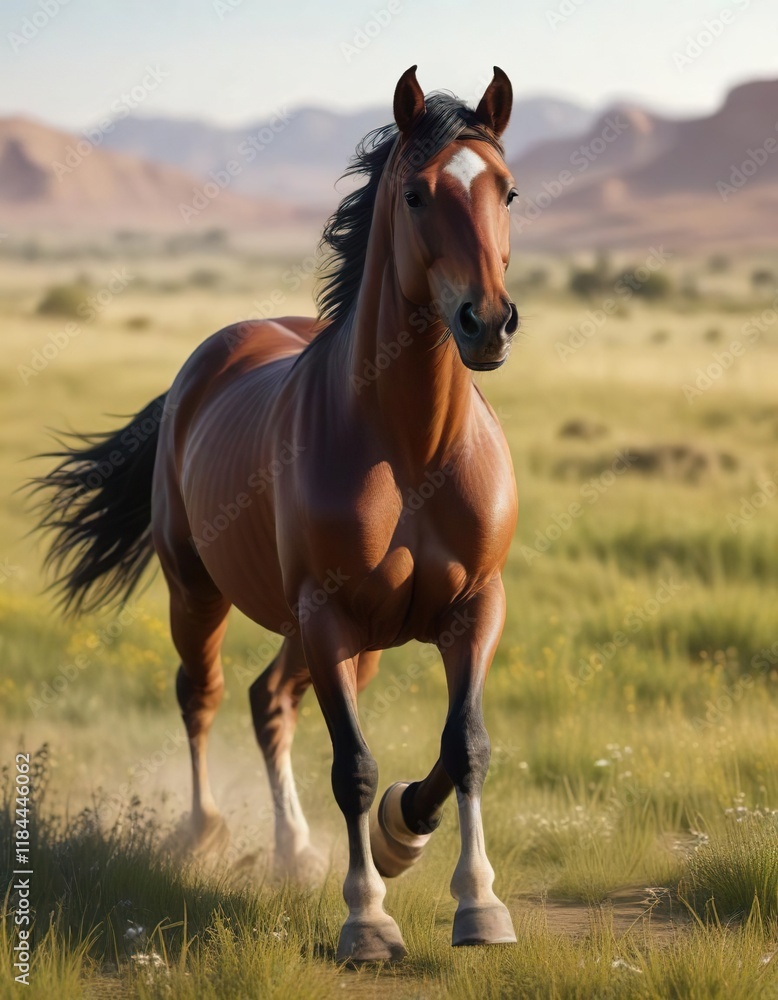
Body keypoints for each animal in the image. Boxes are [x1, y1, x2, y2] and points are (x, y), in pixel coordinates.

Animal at [35, 65, 521, 962]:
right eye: (416, 194)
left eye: (507, 191)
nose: (488, 323)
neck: (411, 448)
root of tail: (204, 365)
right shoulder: (328, 616)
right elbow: (354, 766)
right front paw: (367, 920)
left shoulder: (475, 606)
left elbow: (462, 745)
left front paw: (452, 878)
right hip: (203, 597)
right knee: (204, 694)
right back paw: (205, 834)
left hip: (346, 638)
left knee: (270, 701)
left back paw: (295, 850)